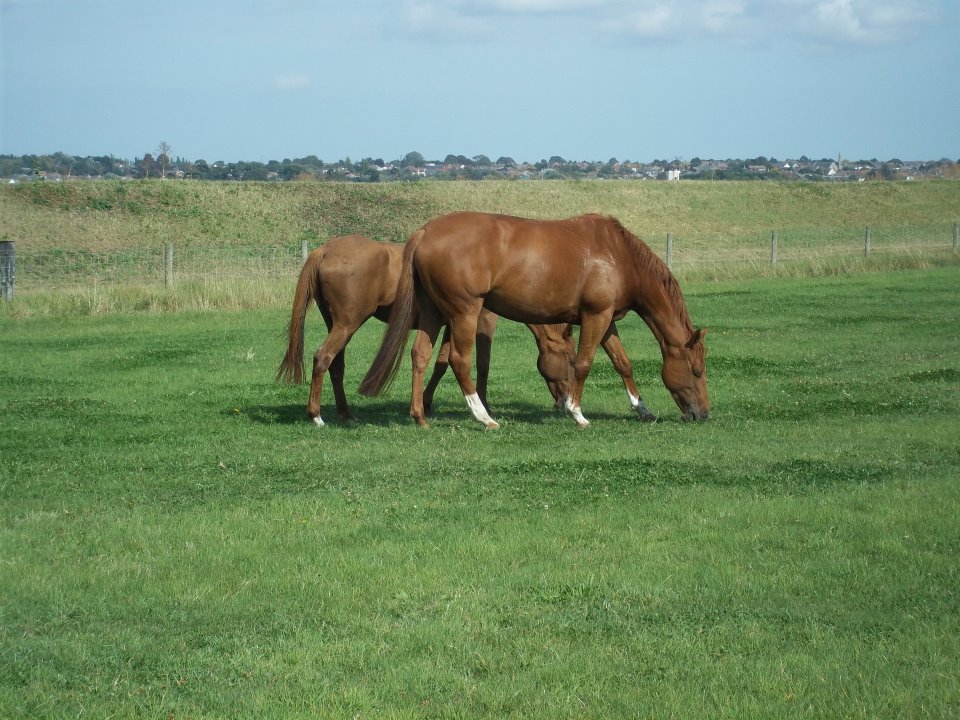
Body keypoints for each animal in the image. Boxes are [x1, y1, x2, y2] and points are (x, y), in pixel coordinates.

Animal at [278, 236, 648, 428]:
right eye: (570, 361)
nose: (562, 401)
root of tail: (323, 249)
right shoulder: (480, 322)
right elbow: (475, 363)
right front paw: (481, 405)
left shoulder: (446, 325)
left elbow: (440, 361)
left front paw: (426, 404)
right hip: (347, 323)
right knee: (323, 358)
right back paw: (317, 416)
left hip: (338, 323)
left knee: (335, 366)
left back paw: (345, 413)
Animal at [360, 212, 704, 428]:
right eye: (698, 371)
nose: (703, 413)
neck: (618, 254)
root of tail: (426, 231)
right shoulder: (595, 317)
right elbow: (584, 363)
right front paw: (577, 413)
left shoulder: (607, 320)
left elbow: (623, 363)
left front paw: (642, 408)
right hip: (464, 312)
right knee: (459, 360)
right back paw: (484, 417)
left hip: (434, 313)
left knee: (421, 354)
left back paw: (420, 415)